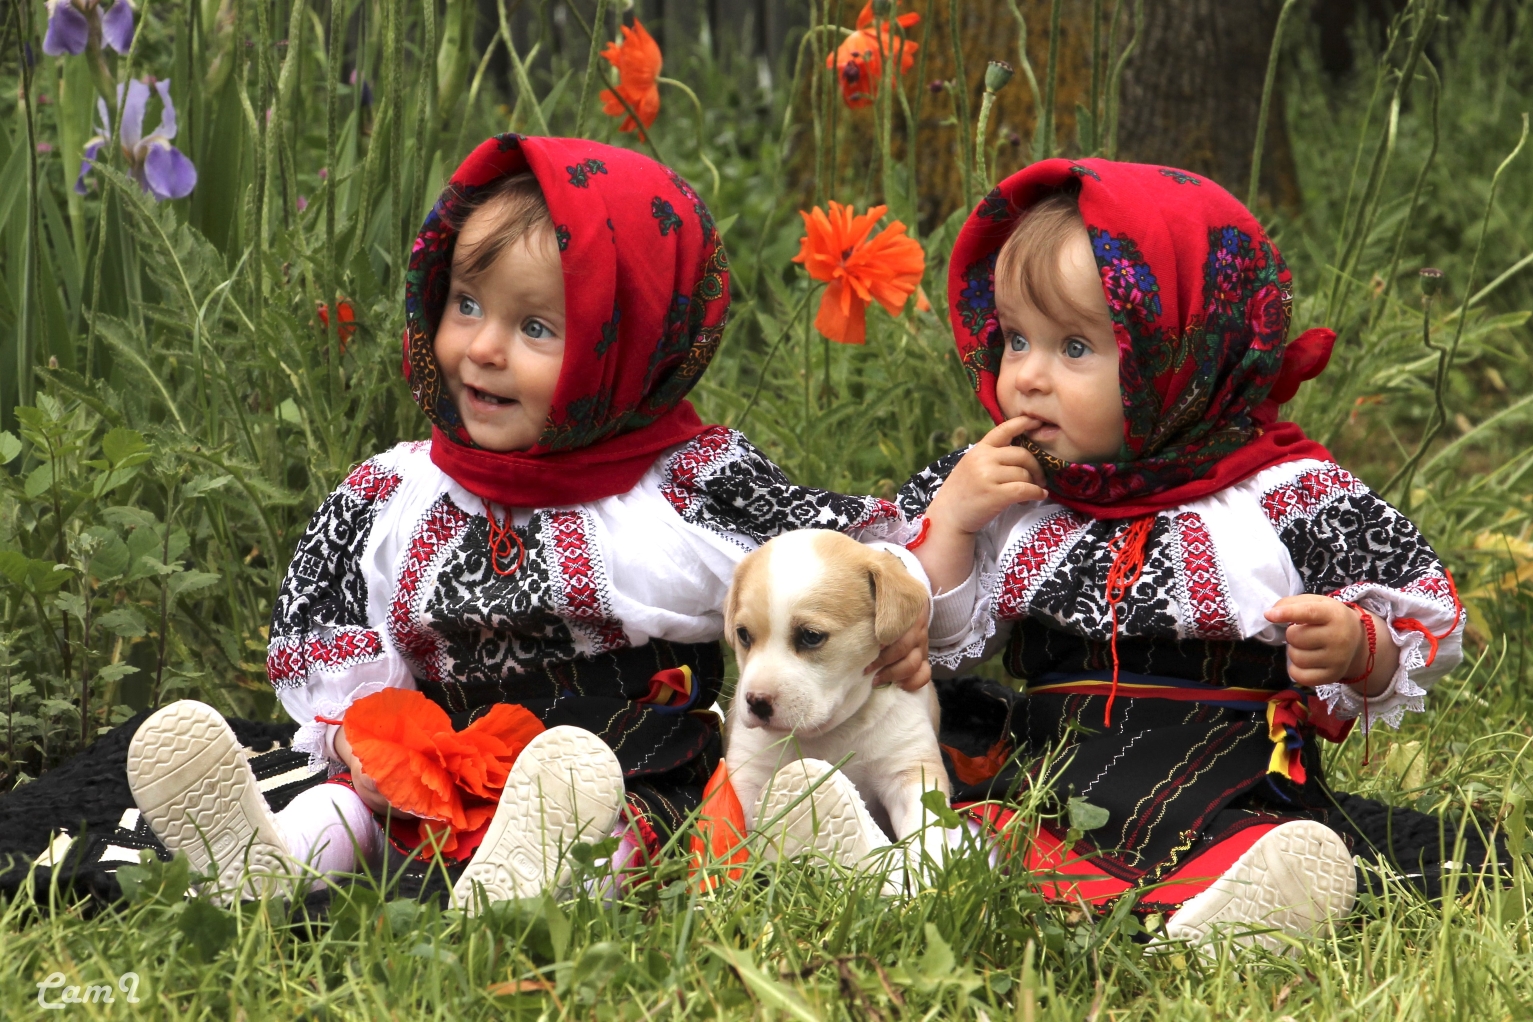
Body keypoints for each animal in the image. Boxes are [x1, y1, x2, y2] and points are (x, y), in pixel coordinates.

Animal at [723, 533, 950, 851]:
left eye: (811, 636)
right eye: (743, 635)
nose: (757, 702)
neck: (830, 733)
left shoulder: (910, 771)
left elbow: (926, 835)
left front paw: (923, 866)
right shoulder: (748, 775)